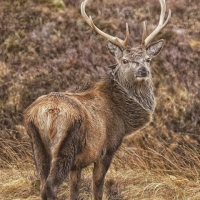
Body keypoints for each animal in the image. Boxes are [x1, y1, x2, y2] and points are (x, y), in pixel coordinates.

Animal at [23, 0, 170, 199]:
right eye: (124, 60)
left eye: (148, 59)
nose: (142, 71)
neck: (123, 118)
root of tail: (48, 112)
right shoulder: (106, 150)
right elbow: (98, 187)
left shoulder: (77, 165)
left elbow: (74, 191)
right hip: (65, 146)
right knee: (50, 186)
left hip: (37, 147)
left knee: (42, 184)